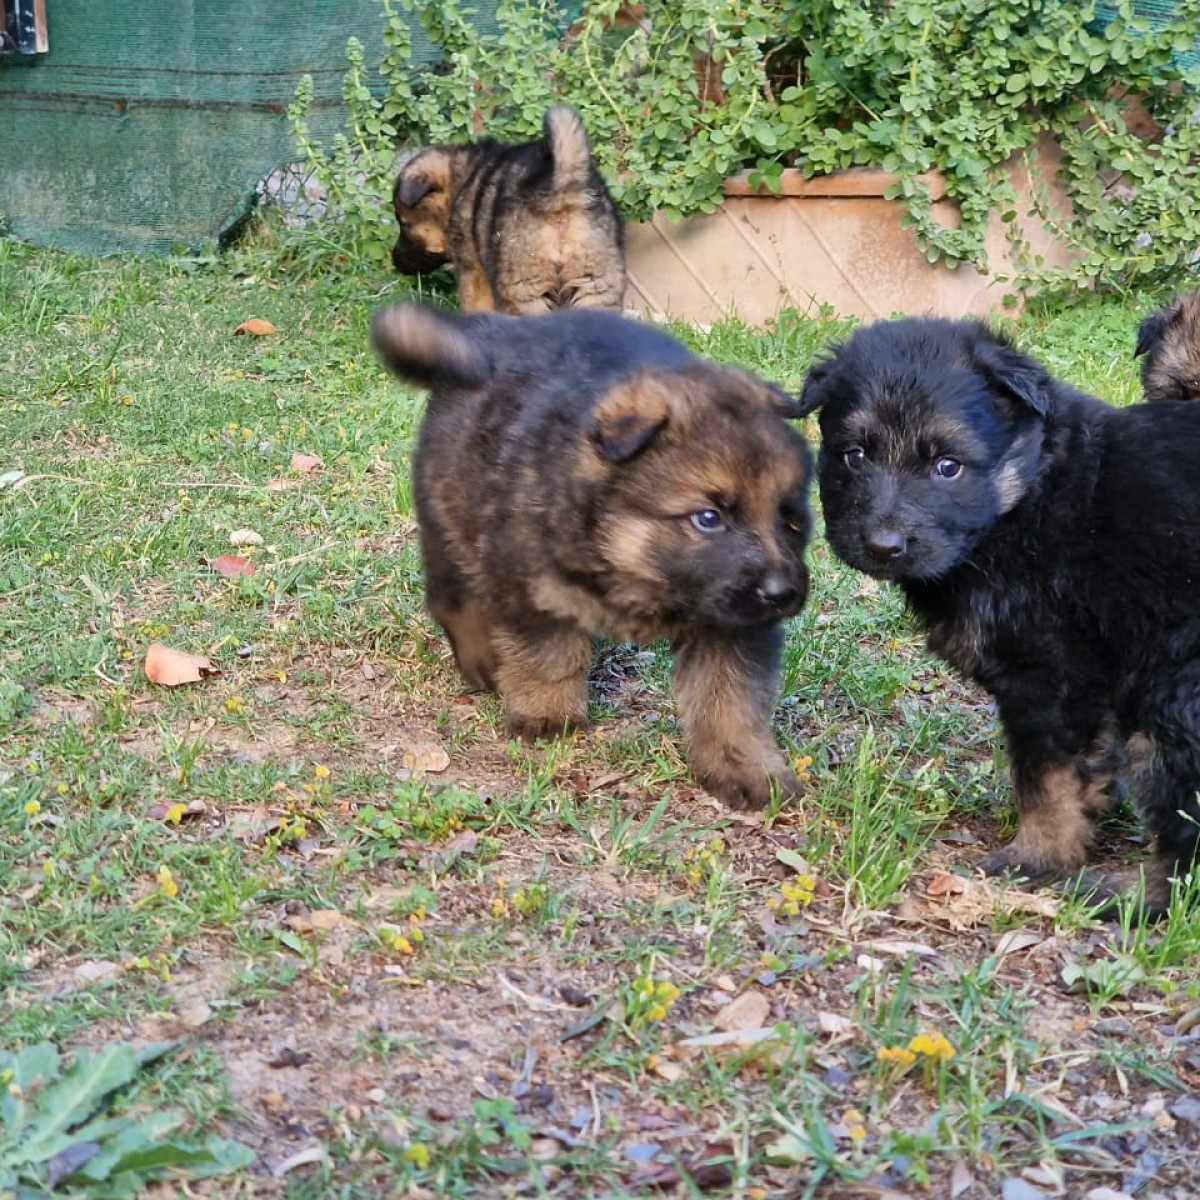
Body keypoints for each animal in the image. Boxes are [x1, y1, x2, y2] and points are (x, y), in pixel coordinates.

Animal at [369, 300, 811, 811]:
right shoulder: (531, 585)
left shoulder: (733, 623)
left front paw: (745, 766)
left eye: (792, 521)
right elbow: (549, 655)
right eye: (708, 518)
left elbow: (730, 699)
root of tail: (484, 337)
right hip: (451, 511)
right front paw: (548, 714)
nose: (783, 593)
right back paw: (481, 658)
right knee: (452, 597)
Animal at [391, 105, 624, 314]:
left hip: (526, 289)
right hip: (595, 286)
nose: (394, 261)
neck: (463, 179)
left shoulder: (473, 272)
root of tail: (561, 192)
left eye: (404, 224)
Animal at [801, 314, 1200, 912]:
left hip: (1172, 694)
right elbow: (1087, 763)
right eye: (855, 455)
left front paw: (1037, 856)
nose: (882, 546)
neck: (1029, 496)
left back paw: (1126, 893)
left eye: (948, 466)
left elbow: (1045, 778)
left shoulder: (1047, 680)